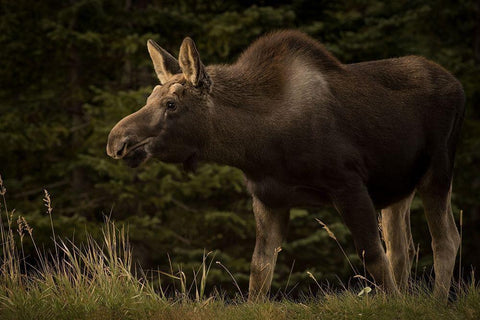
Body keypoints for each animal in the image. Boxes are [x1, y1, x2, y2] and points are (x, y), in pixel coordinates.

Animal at [106, 30, 464, 300]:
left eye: (171, 104)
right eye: (150, 97)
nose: (116, 141)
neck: (260, 146)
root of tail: (457, 85)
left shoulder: (348, 184)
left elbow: (373, 257)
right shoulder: (269, 198)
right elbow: (259, 271)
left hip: (438, 169)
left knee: (445, 238)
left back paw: (436, 301)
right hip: (397, 186)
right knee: (402, 247)